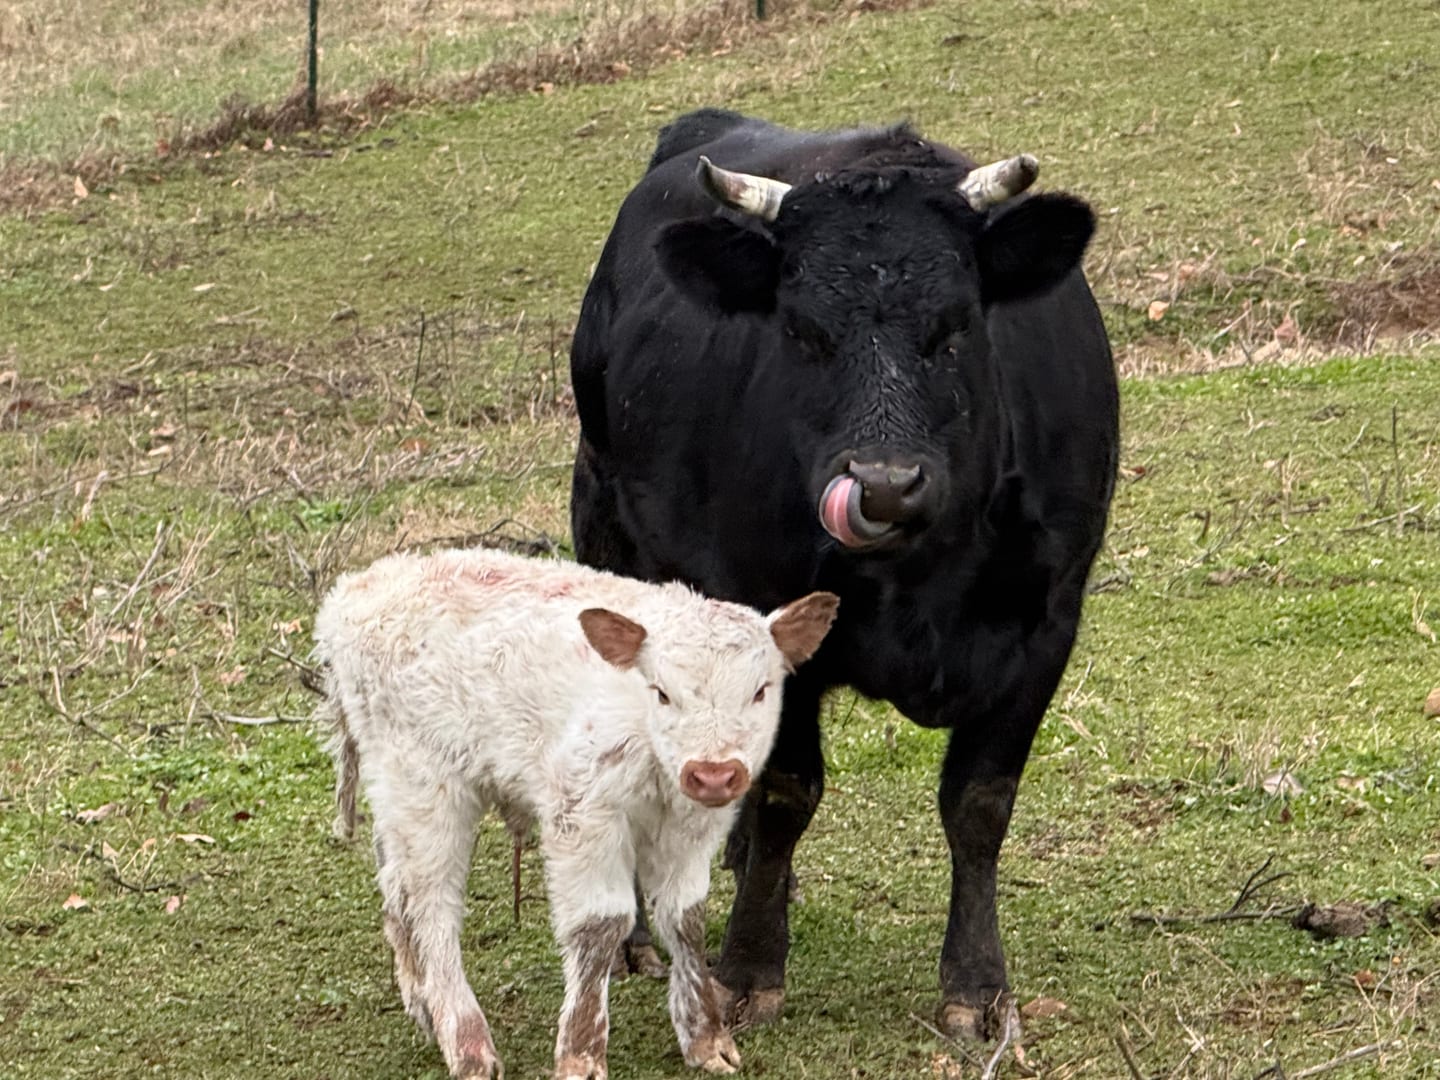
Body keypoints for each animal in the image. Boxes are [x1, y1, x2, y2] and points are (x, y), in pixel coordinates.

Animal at [314, 545, 837, 1079]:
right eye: (661, 692)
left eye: (760, 690)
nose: (712, 773)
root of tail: (355, 591)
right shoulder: (583, 815)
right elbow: (600, 926)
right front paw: (581, 1052)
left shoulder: (693, 827)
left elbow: (685, 917)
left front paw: (706, 1038)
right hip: (424, 783)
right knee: (430, 905)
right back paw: (468, 1044)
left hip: (394, 793)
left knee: (395, 889)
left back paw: (424, 1008)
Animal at [568, 108, 1119, 1042]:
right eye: (799, 332)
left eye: (957, 325)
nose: (886, 484)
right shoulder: (767, 611)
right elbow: (789, 791)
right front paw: (749, 969)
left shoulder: (1048, 622)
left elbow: (979, 803)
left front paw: (978, 985)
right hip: (604, 535)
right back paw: (639, 936)